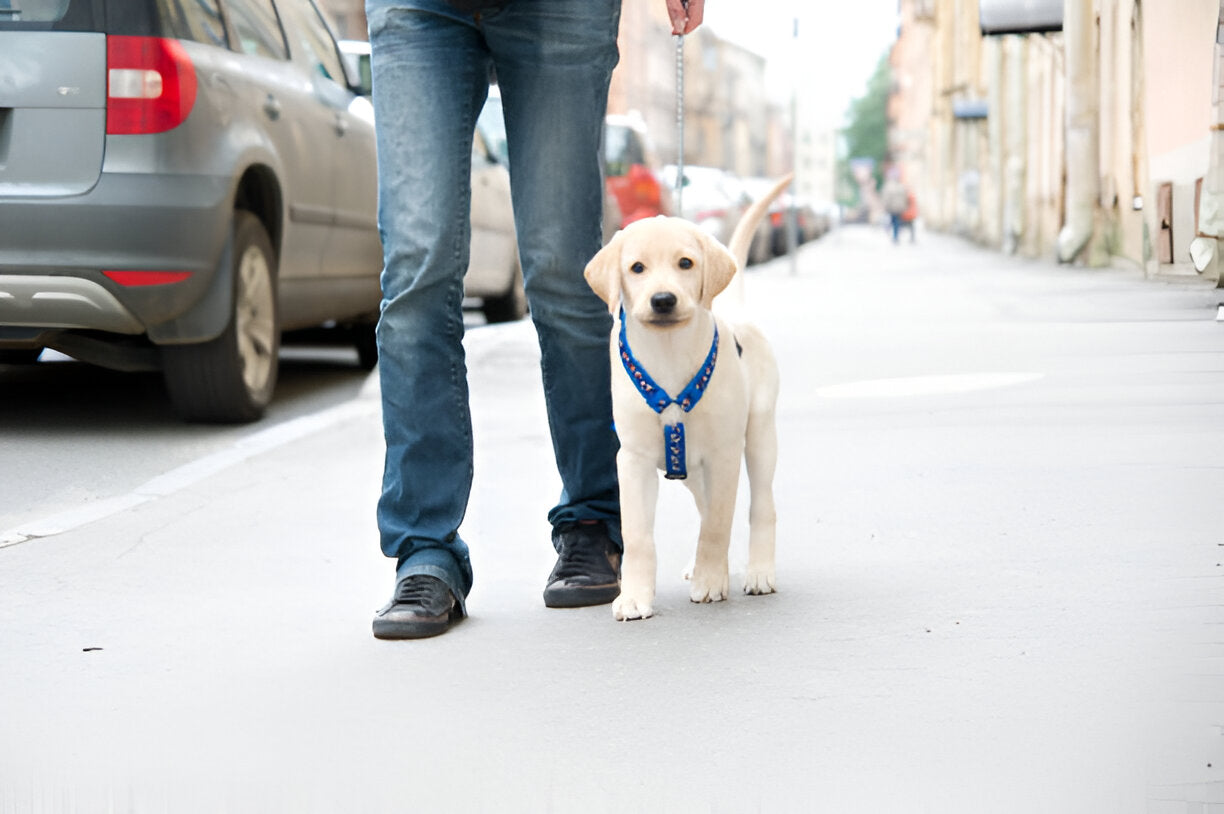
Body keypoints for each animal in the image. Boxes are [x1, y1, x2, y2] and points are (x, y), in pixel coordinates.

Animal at [582, 171, 793, 616]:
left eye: (685, 263)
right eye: (637, 268)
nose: (663, 300)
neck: (669, 355)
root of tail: (734, 306)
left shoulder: (724, 455)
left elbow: (716, 525)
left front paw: (711, 582)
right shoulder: (633, 460)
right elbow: (638, 536)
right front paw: (635, 596)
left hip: (759, 436)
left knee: (760, 506)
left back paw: (758, 572)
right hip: (693, 471)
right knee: (705, 505)